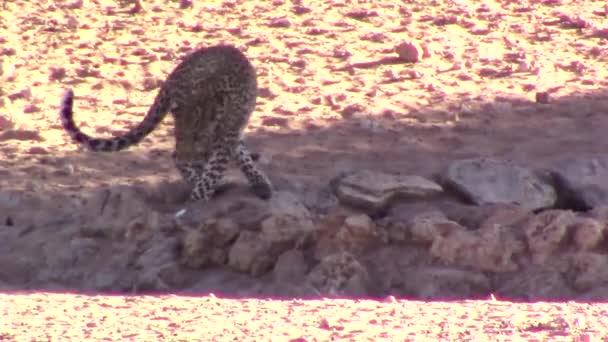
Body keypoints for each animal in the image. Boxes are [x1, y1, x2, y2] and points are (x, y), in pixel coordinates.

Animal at [60, 44, 274, 202]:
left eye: (198, 138)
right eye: (187, 136)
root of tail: (171, 78)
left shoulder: (227, 136)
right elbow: (208, 177)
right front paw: (197, 200)